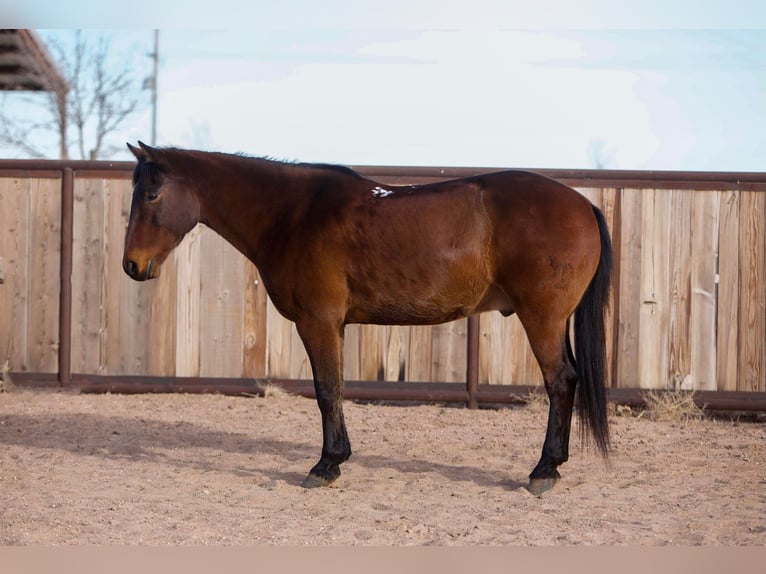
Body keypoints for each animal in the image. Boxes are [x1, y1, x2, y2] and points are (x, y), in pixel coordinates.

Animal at [124, 142, 616, 498]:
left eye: (150, 195)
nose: (132, 265)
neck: (293, 214)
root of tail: (582, 205)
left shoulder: (318, 321)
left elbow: (327, 391)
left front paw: (326, 465)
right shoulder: (333, 325)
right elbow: (337, 389)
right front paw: (337, 458)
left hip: (542, 319)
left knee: (561, 382)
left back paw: (544, 469)